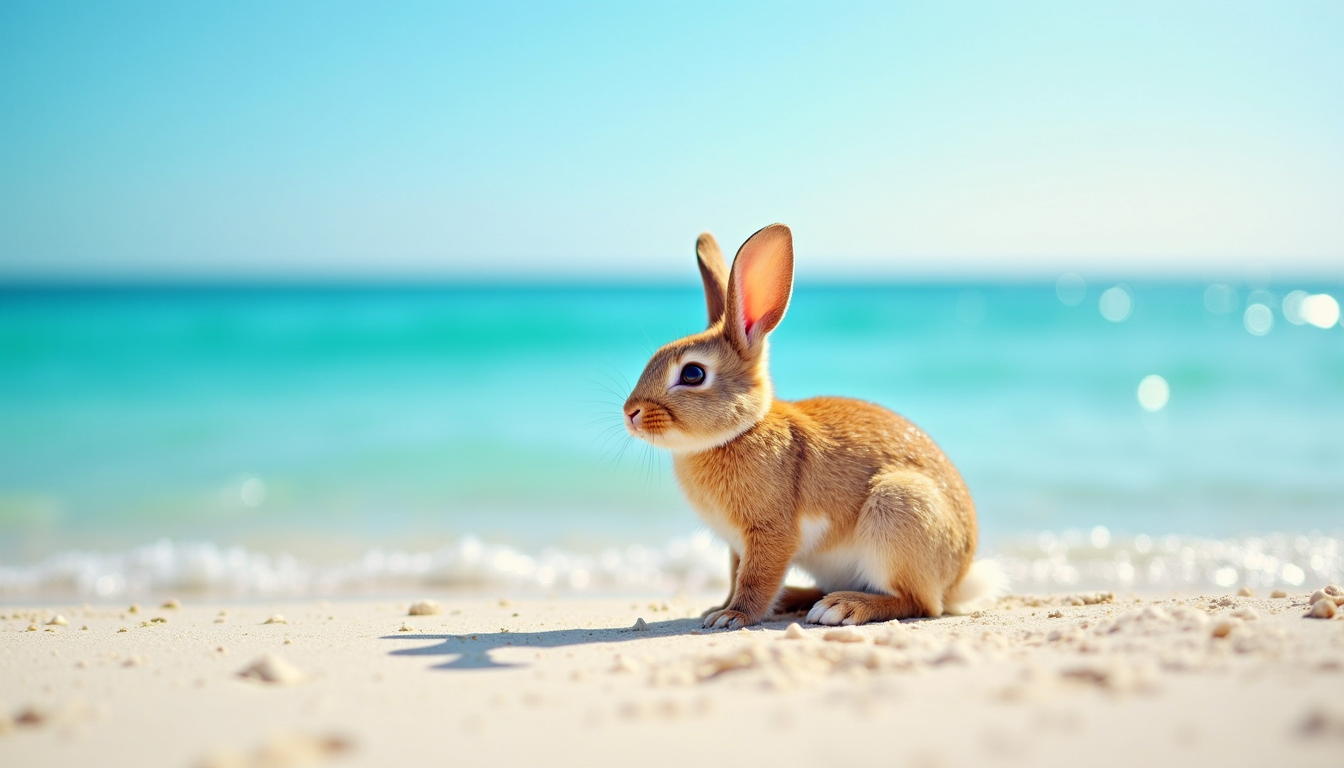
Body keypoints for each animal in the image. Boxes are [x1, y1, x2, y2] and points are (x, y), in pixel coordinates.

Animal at [622, 224, 1005, 629]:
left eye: (693, 374)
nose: (630, 412)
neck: (741, 431)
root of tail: (958, 579)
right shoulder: (738, 546)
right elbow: (737, 573)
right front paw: (717, 609)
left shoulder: (771, 535)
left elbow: (756, 578)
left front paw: (731, 615)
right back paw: (798, 600)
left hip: (897, 511)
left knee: (918, 602)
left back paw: (843, 607)